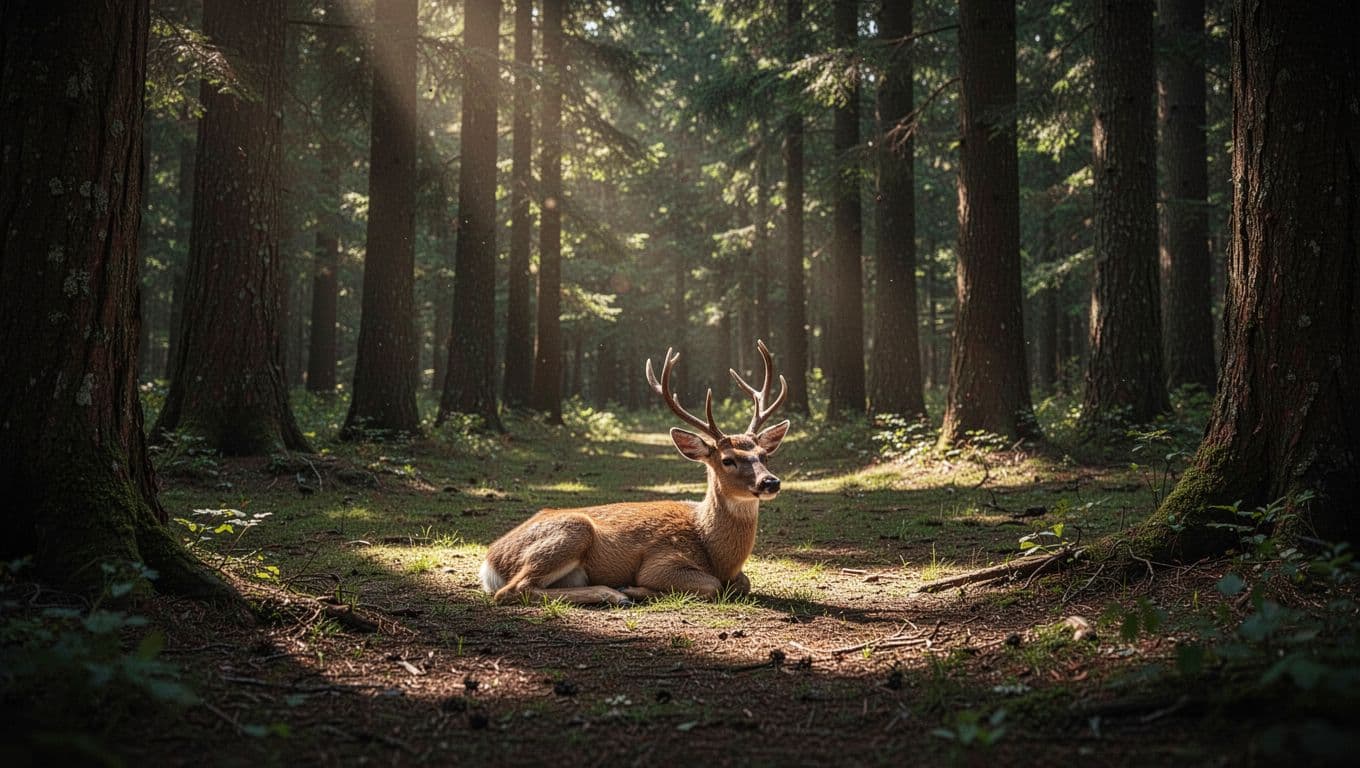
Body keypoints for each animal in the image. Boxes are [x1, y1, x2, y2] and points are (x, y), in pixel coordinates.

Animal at [479, 340, 790, 605]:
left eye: (764, 455)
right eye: (728, 460)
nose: (770, 481)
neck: (713, 550)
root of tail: (490, 562)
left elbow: (744, 582)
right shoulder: (661, 561)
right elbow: (712, 585)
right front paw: (633, 588)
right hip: (571, 530)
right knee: (514, 589)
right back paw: (614, 593)